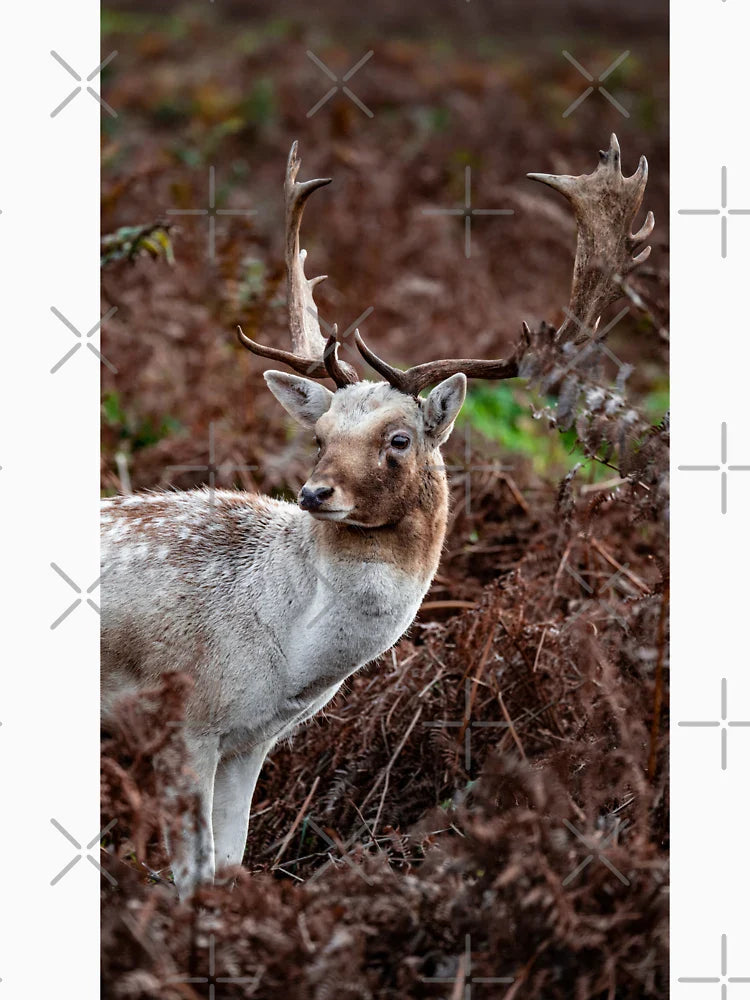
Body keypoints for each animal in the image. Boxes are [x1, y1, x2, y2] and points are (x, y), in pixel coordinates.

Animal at [101, 135, 654, 896]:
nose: (315, 494)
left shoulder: (249, 739)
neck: (286, 652)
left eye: (398, 439)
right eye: (319, 435)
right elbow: (195, 875)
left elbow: (231, 861)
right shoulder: (186, 718)